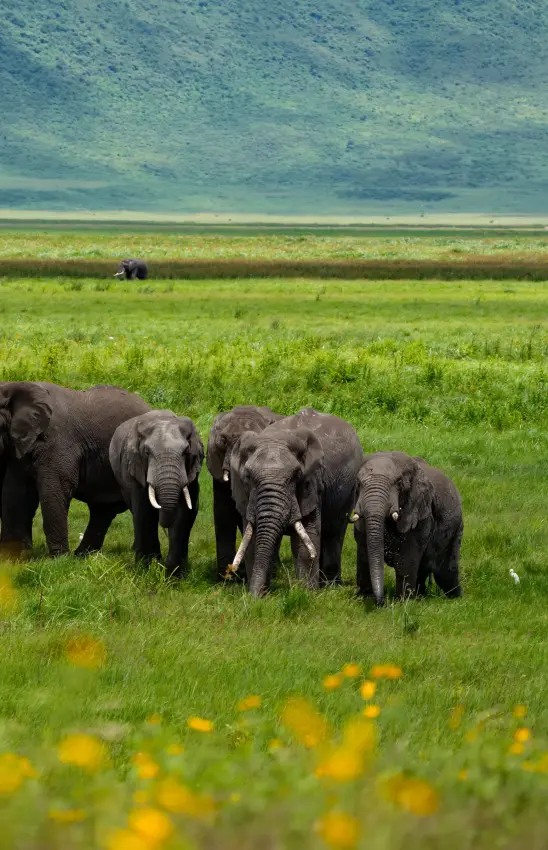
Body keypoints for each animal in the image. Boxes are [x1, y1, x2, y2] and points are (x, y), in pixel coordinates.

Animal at [0, 381, 150, 557]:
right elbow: (16, 493)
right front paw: (14, 558)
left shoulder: (58, 442)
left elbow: (54, 489)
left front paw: (59, 558)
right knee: (102, 510)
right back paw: (82, 556)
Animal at [109, 410, 203, 576]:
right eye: (147, 452)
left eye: (186, 451)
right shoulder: (134, 467)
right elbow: (144, 512)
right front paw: (147, 570)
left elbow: (186, 513)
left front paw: (174, 573)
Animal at [229, 408, 364, 596]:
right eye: (247, 477)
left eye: (297, 476)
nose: (252, 598)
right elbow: (253, 541)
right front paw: (261, 594)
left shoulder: (313, 484)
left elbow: (306, 541)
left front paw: (307, 594)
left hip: (349, 488)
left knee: (334, 532)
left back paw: (330, 586)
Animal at [349, 451, 463, 605]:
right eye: (359, 484)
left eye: (399, 484)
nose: (381, 602)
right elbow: (364, 550)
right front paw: (365, 598)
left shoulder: (419, 513)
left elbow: (407, 556)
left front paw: (402, 603)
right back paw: (420, 597)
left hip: (455, 526)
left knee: (446, 571)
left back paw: (457, 599)